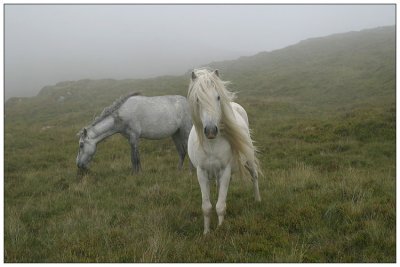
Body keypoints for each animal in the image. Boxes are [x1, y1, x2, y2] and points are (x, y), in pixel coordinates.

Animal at [188, 69, 262, 234]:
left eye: (218, 97)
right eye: (197, 100)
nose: (210, 131)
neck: (211, 144)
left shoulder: (225, 171)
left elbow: (220, 206)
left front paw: (221, 230)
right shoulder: (201, 172)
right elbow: (207, 207)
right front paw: (206, 233)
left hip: (248, 160)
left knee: (254, 176)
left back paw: (258, 200)